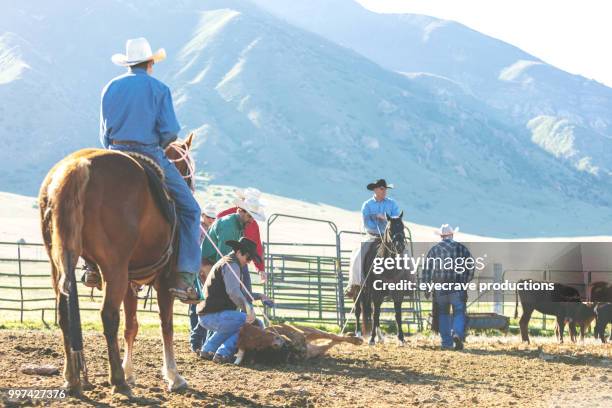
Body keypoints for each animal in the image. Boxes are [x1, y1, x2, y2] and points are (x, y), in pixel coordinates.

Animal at [39, 134, 196, 396]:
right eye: (187, 168)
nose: (191, 187)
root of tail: (78, 165)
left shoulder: (131, 281)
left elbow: (131, 326)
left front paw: (131, 371)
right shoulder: (164, 282)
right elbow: (166, 326)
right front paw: (174, 376)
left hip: (58, 263)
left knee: (64, 314)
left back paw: (72, 379)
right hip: (114, 269)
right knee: (108, 316)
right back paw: (117, 380)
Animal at [232, 324, 360, 364]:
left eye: (257, 330)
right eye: (257, 346)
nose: (276, 343)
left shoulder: (301, 333)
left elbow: (332, 335)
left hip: (309, 330)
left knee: (331, 335)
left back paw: (355, 338)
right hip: (314, 349)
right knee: (331, 342)